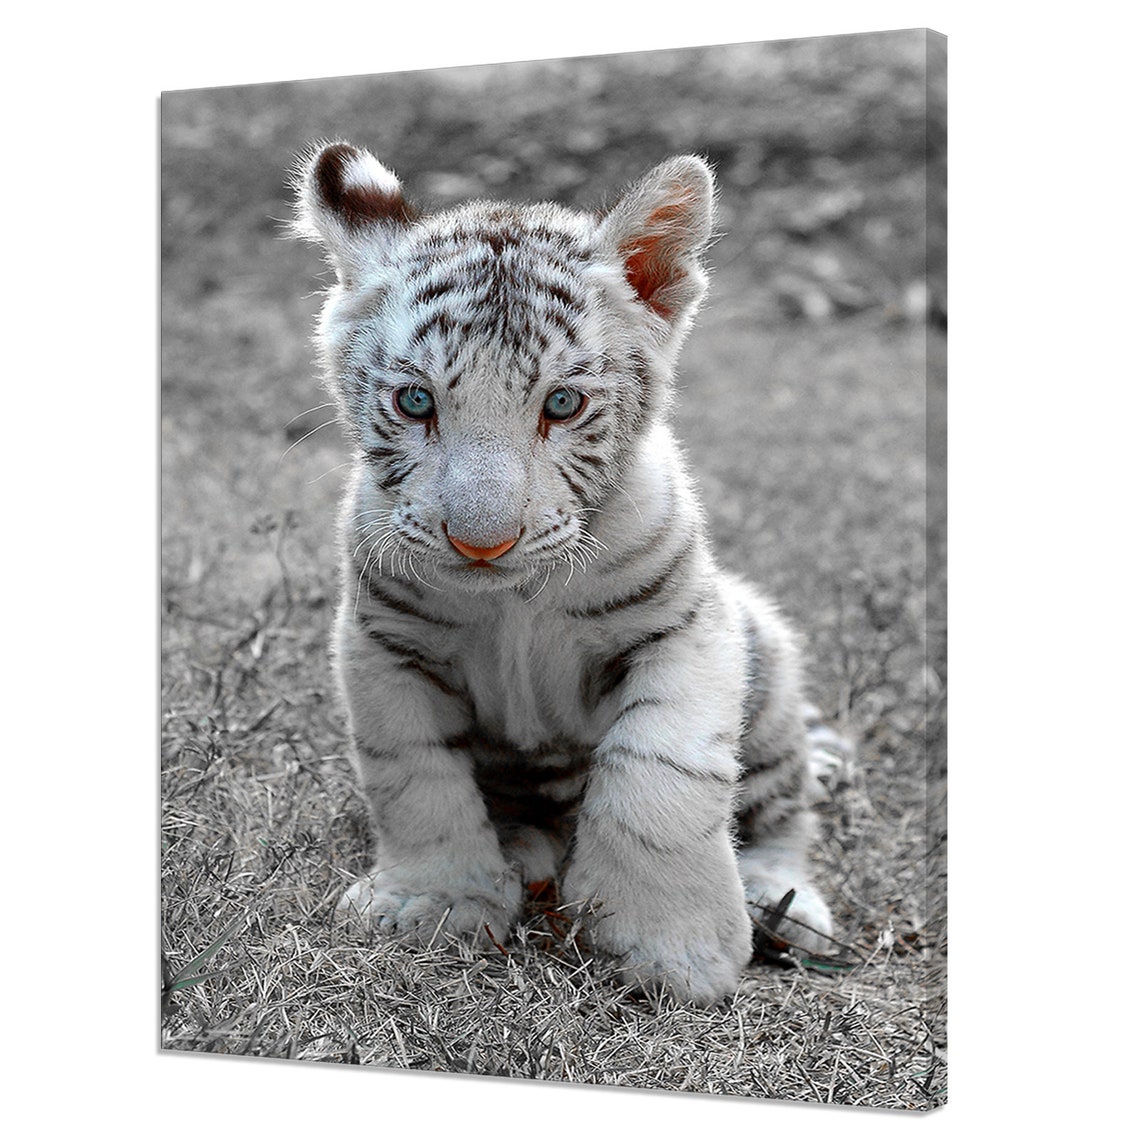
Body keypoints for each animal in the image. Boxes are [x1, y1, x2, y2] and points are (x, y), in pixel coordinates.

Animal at [290, 142, 848, 1005]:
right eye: (415, 401)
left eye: (562, 404)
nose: (481, 544)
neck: (513, 597)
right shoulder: (382, 642)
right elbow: (413, 776)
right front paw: (431, 902)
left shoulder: (686, 628)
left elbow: (662, 772)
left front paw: (674, 949)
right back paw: (523, 859)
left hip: (773, 670)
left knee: (785, 812)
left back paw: (780, 904)